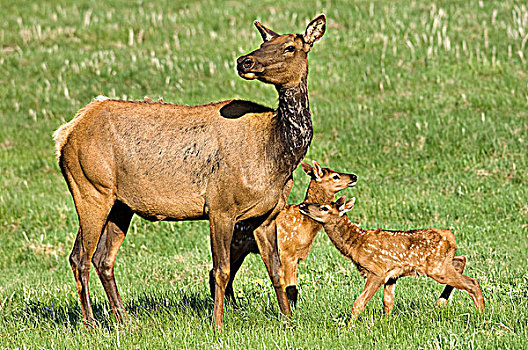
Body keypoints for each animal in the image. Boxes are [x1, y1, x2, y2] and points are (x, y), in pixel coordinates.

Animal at [53, 15, 326, 328]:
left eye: (289, 46)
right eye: (263, 43)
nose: (244, 61)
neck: (275, 157)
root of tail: (66, 133)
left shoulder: (267, 214)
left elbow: (276, 269)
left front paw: (288, 319)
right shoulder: (220, 205)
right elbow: (221, 270)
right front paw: (217, 324)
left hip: (120, 204)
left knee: (103, 259)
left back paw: (125, 320)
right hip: (90, 187)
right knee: (79, 257)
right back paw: (90, 323)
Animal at [208, 160, 356, 304]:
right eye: (335, 176)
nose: (354, 176)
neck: (305, 223)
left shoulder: (296, 256)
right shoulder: (287, 253)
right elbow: (292, 288)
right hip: (235, 245)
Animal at [300, 196, 484, 322]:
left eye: (324, 208)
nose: (303, 205)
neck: (356, 245)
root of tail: (451, 236)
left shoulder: (376, 271)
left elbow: (359, 302)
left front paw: (349, 326)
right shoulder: (391, 274)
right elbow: (387, 302)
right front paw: (386, 322)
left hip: (436, 266)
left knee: (471, 282)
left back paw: (480, 313)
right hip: (442, 262)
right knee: (461, 259)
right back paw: (441, 303)